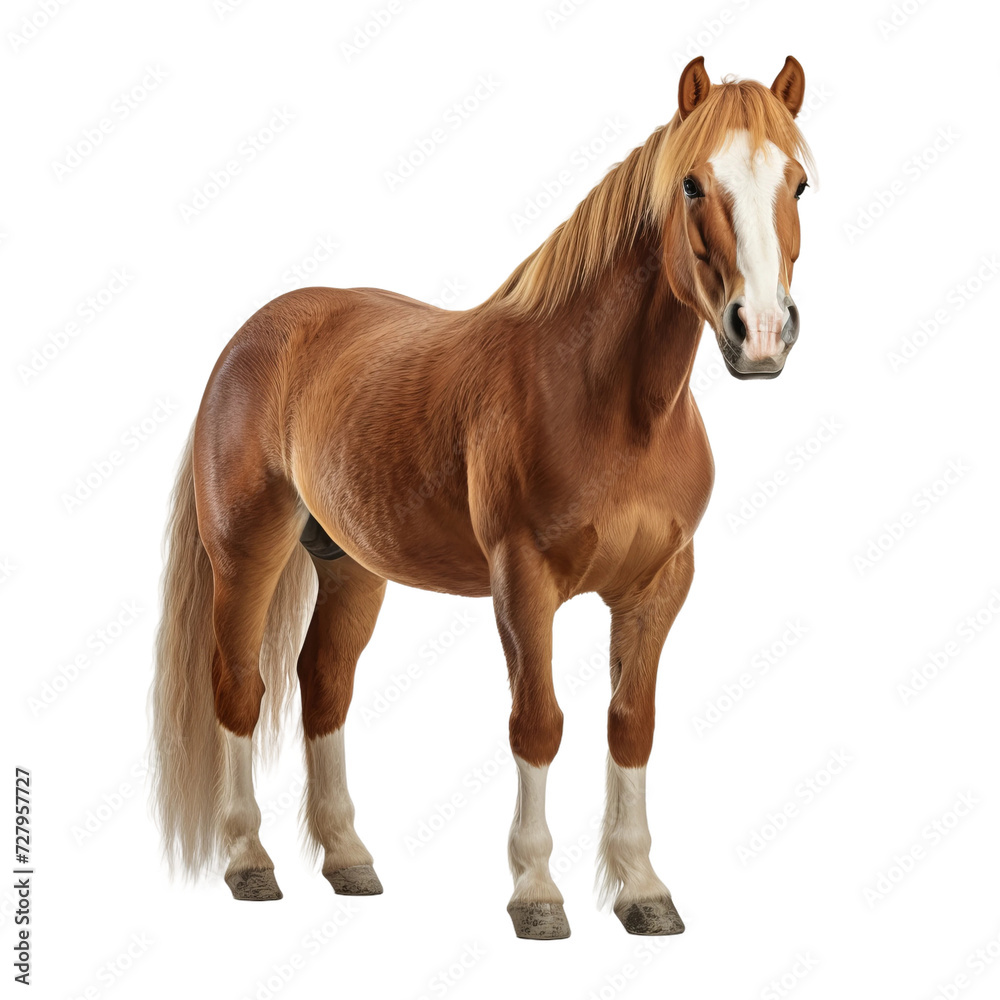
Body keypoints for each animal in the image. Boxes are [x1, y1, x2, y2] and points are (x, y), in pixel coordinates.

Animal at [150, 55, 814, 939]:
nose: (762, 333)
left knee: (323, 684)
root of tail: (254, 335)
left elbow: (630, 726)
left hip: (352, 565)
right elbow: (538, 723)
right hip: (246, 551)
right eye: (693, 185)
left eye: (798, 183)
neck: (612, 402)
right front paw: (536, 893)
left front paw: (642, 890)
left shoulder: (658, 585)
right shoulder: (523, 580)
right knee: (240, 687)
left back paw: (349, 858)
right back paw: (249, 862)